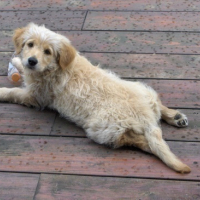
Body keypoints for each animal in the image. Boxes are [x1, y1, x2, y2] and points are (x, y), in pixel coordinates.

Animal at [0, 23, 191, 173]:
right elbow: (23, 70)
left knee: (133, 140)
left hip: (102, 127)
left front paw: (4, 89)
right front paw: (17, 62)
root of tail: (147, 118)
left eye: (47, 51)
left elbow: (14, 92)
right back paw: (176, 116)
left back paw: (150, 142)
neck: (55, 67)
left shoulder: (35, 95)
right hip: (141, 88)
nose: (32, 61)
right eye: (30, 44)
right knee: (158, 105)